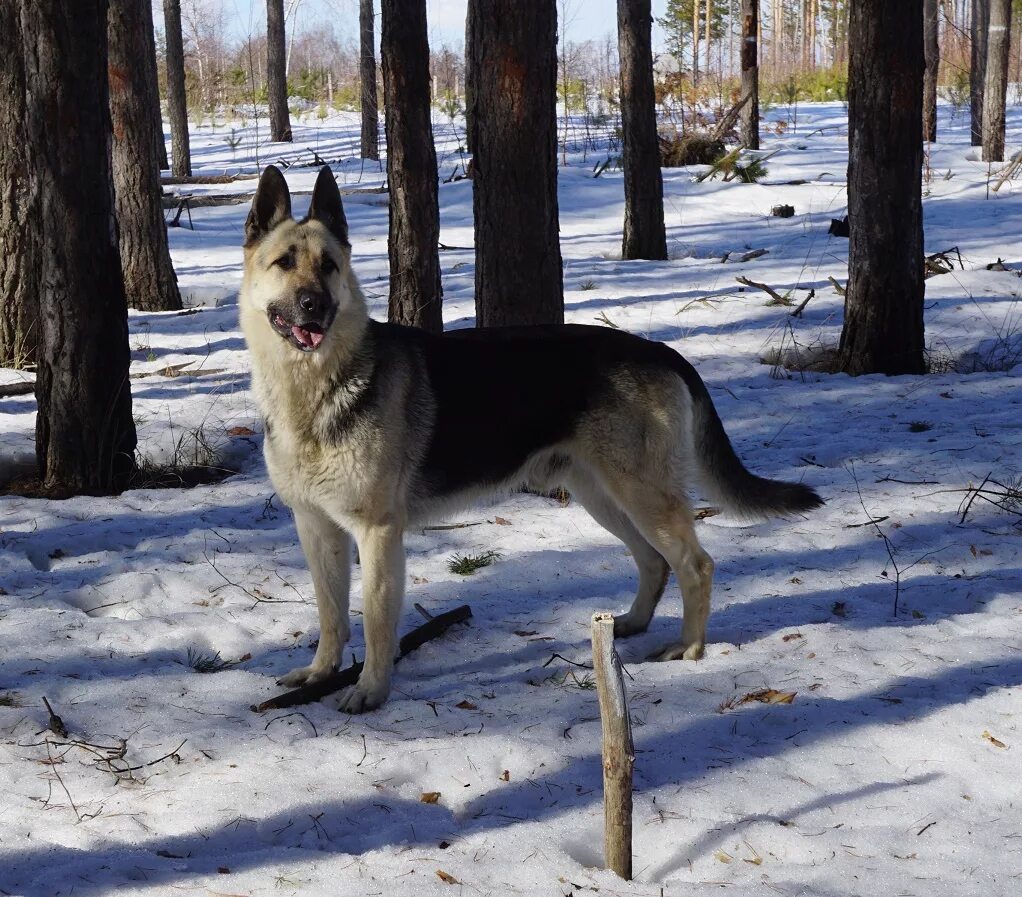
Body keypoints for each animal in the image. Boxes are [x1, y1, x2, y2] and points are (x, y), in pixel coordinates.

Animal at [239, 165, 821, 715]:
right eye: (285, 263)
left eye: (329, 266)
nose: (313, 305)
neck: (315, 388)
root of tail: (658, 349)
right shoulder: (317, 530)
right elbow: (331, 615)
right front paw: (320, 674)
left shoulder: (377, 534)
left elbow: (377, 624)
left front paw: (371, 691)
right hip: (603, 496)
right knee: (654, 561)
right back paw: (631, 624)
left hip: (642, 496)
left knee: (695, 566)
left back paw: (690, 649)